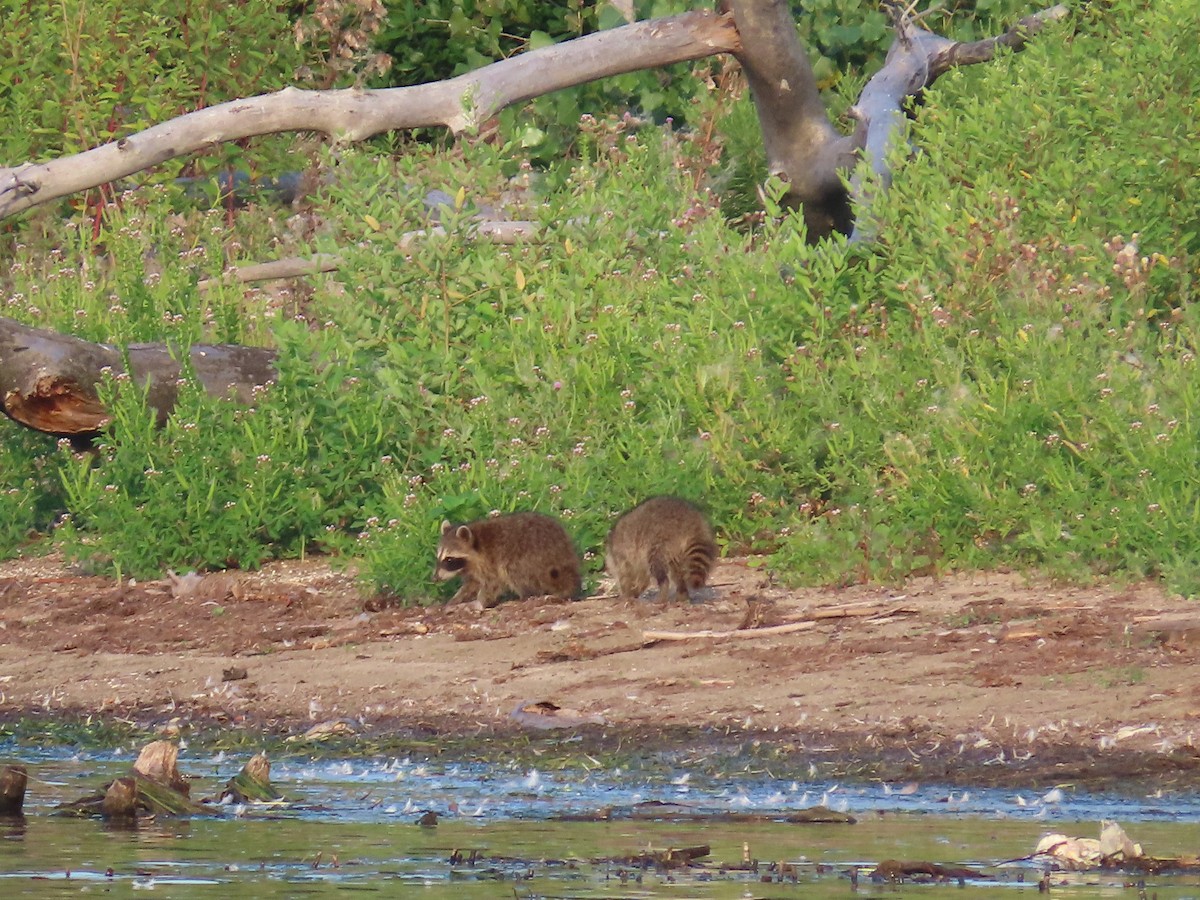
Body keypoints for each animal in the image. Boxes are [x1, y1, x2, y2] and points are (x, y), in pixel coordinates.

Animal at [433, 511, 582, 609]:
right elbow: (472, 583)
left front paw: (479, 602)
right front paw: (456, 598)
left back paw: (526, 596)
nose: (434, 579)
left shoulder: (489, 561)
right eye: (438, 558)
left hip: (532, 559)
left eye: (449, 560)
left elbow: (493, 584)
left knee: (511, 570)